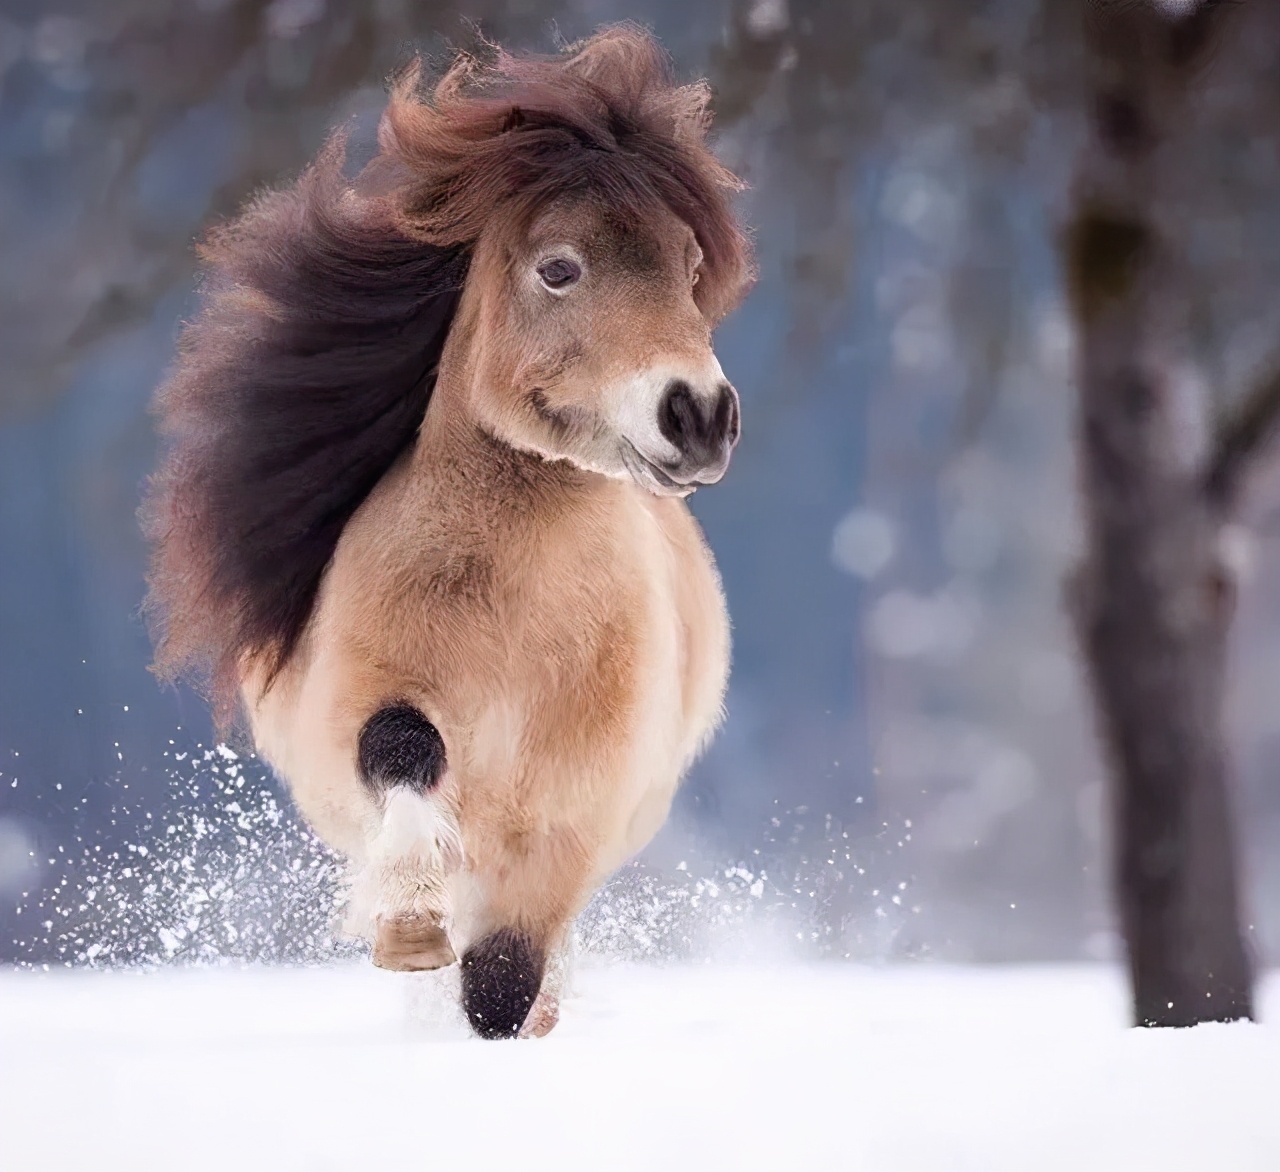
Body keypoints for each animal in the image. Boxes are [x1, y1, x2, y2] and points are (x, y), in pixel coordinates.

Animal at [145, 22, 752, 1038]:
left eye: (689, 268)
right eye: (559, 267)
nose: (699, 414)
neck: (511, 618)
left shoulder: (563, 835)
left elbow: (501, 989)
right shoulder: (369, 701)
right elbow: (401, 751)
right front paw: (408, 929)